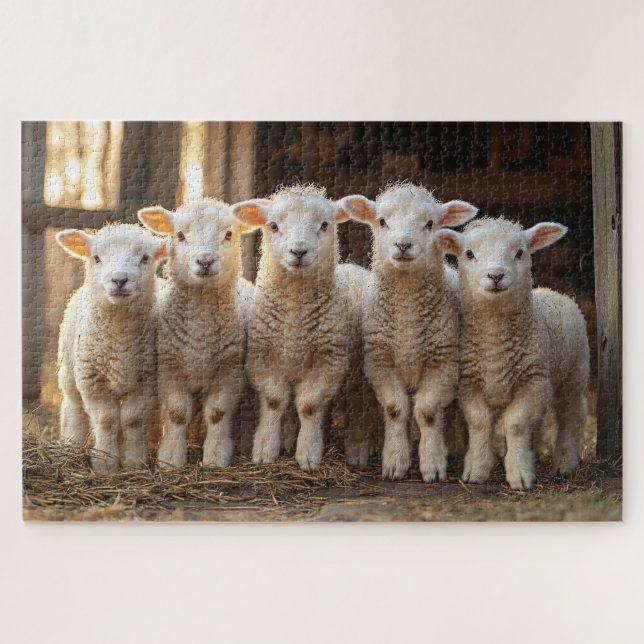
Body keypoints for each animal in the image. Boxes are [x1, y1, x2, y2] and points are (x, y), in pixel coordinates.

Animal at [56, 224, 167, 474]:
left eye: (145, 258)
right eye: (96, 258)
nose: (119, 280)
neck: (120, 340)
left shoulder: (147, 380)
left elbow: (132, 420)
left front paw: (134, 462)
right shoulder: (92, 380)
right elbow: (107, 420)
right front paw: (105, 463)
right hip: (69, 371)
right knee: (74, 408)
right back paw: (71, 445)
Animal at [138, 199, 256, 469]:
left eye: (229, 234)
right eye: (180, 235)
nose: (204, 261)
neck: (201, 332)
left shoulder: (230, 370)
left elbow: (217, 413)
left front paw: (216, 457)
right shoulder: (169, 368)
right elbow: (177, 414)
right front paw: (170, 458)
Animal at [230, 184, 367, 472]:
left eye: (324, 225)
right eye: (273, 225)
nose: (299, 252)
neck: (295, 318)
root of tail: (353, 266)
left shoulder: (328, 362)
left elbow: (309, 406)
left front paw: (308, 454)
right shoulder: (263, 357)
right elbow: (275, 401)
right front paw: (266, 449)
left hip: (359, 373)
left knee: (359, 409)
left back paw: (357, 450)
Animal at [340, 183, 478, 481]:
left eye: (430, 224)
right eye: (382, 221)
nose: (403, 245)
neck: (408, 320)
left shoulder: (443, 364)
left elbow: (427, 411)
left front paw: (433, 464)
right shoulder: (380, 362)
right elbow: (396, 409)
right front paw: (395, 462)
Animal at [436, 218, 590, 490]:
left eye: (519, 253)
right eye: (469, 254)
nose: (496, 275)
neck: (495, 344)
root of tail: (553, 291)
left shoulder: (531, 382)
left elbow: (515, 424)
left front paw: (519, 473)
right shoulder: (469, 384)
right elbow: (480, 423)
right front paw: (477, 469)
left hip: (574, 373)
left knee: (572, 414)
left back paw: (565, 463)